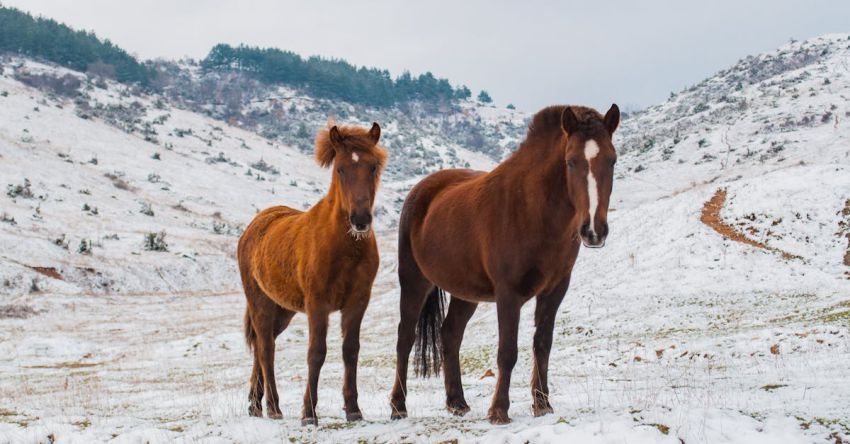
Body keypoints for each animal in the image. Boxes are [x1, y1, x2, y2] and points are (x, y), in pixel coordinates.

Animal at [237, 119, 386, 424]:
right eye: (340, 169)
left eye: (373, 166)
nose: (360, 220)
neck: (344, 248)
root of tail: (253, 227)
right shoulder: (318, 304)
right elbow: (316, 352)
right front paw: (309, 413)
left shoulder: (357, 302)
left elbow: (350, 350)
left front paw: (353, 409)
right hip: (260, 304)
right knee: (266, 350)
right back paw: (274, 407)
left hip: (283, 310)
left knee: (261, 347)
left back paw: (255, 405)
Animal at [390, 103, 616, 424]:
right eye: (571, 161)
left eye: (612, 160)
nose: (594, 230)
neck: (532, 209)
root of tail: (421, 190)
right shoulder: (508, 294)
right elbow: (507, 351)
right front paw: (499, 410)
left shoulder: (555, 290)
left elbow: (542, 344)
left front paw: (542, 404)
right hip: (413, 281)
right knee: (405, 338)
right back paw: (398, 406)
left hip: (465, 292)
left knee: (450, 334)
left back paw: (457, 402)